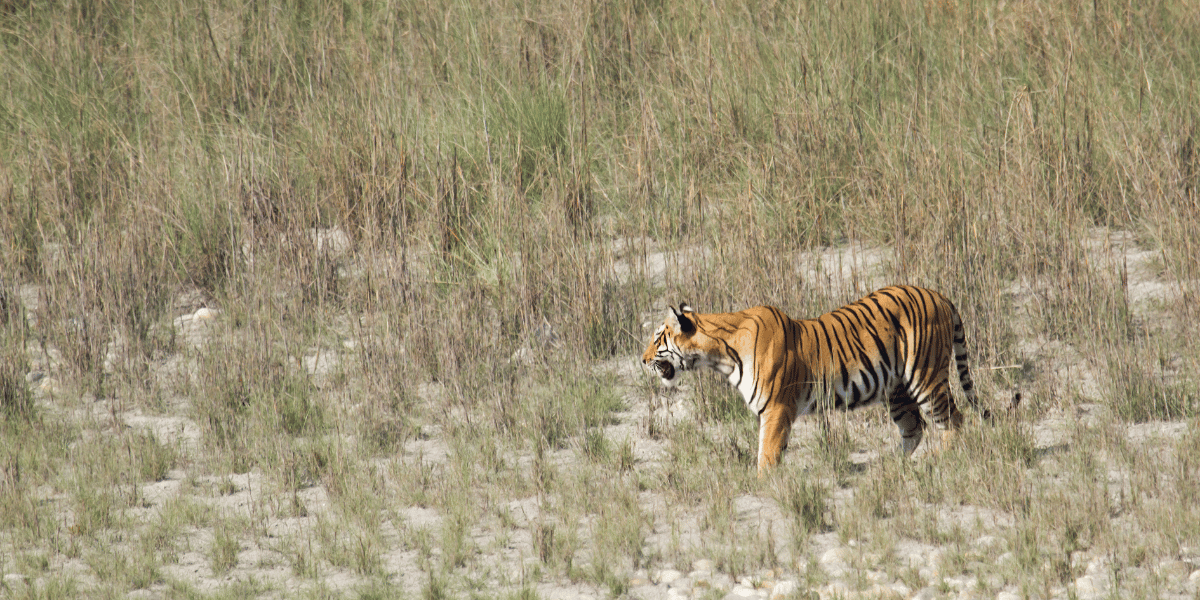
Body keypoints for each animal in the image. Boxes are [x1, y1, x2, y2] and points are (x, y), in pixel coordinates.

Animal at [643, 284, 988, 472]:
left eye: (658, 338)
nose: (643, 360)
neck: (719, 354)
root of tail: (940, 295)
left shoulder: (776, 408)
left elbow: (766, 454)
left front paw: (761, 485)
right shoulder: (774, 412)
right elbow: (773, 451)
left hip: (925, 376)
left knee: (953, 420)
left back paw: (935, 460)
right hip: (897, 389)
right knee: (915, 428)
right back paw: (890, 466)